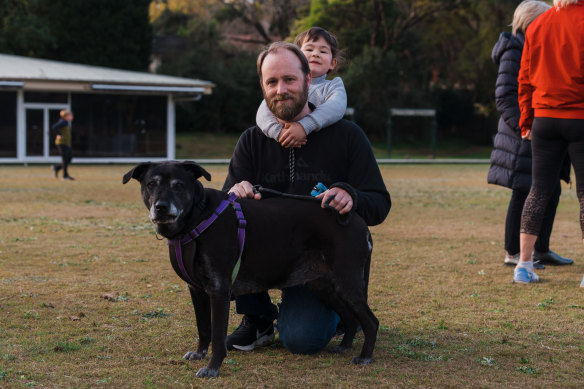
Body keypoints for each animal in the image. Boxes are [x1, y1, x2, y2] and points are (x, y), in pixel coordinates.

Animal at [123, 160, 378, 376]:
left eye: (178, 185)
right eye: (151, 184)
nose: (161, 207)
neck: (196, 217)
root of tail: (356, 219)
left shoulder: (219, 289)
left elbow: (217, 335)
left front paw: (213, 368)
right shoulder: (196, 289)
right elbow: (203, 327)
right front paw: (199, 353)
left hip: (346, 281)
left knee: (370, 321)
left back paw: (365, 356)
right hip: (324, 286)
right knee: (350, 318)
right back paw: (344, 347)